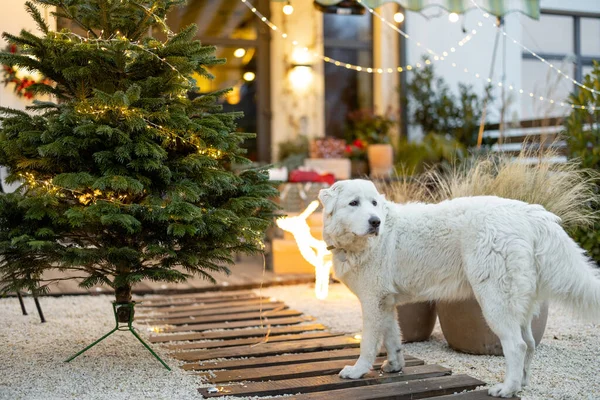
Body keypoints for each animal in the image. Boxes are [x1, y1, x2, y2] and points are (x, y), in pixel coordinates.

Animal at [318, 180, 600, 396]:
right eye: (354, 203)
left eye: (374, 204)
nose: (376, 222)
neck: (358, 245)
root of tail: (530, 213)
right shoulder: (384, 302)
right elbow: (392, 336)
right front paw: (395, 365)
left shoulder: (372, 301)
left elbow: (368, 343)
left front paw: (357, 371)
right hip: (520, 304)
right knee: (530, 344)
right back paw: (521, 383)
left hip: (495, 300)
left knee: (516, 346)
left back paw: (507, 389)